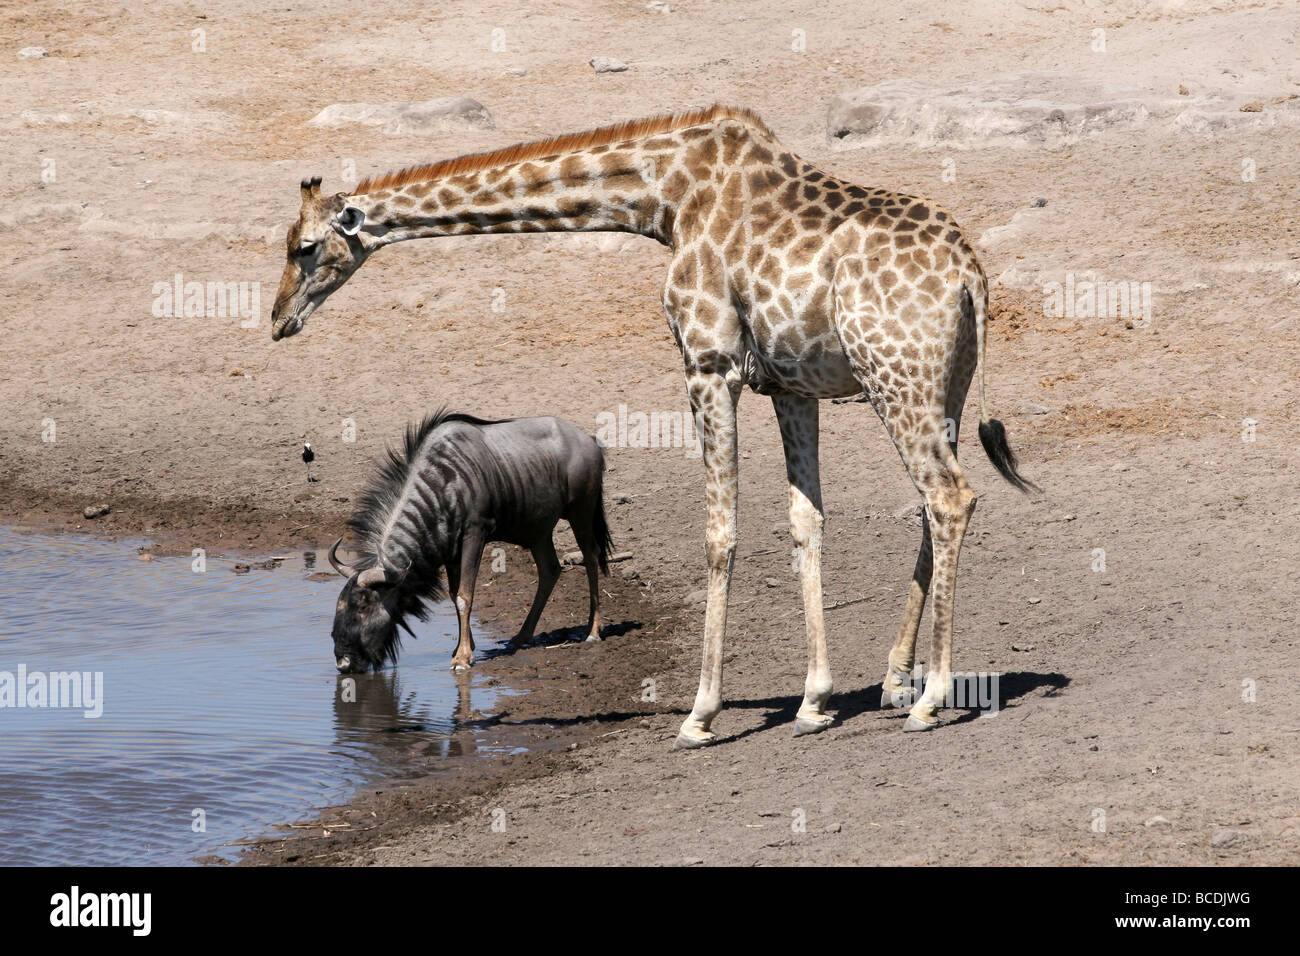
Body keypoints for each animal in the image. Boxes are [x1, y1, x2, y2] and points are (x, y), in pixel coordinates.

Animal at [271, 104, 1034, 749]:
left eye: (304, 248)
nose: (278, 320)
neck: (666, 198)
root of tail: (971, 275)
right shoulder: (790, 386)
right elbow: (805, 520)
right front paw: (814, 701)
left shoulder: (709, 363)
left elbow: (721, 531)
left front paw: (700, 714)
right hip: (942, 387)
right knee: (933, 503)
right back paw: (896, 680)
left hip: (895, 377)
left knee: (949, 497)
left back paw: (930, 698)